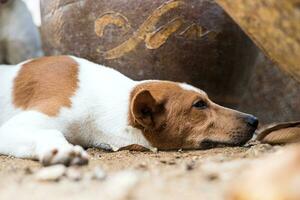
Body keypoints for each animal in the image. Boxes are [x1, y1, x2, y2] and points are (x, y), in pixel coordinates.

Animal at [0, 55, 258, 165]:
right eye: (199, 105)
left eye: (207, 100)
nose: (255, 120)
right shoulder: (10, 130)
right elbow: (51, 132)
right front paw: (60, 150)